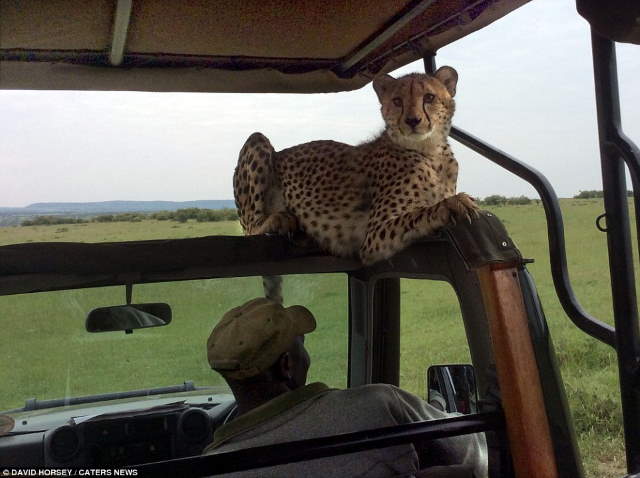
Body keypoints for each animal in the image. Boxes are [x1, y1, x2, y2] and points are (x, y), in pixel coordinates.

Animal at [232, 66, 478, 300]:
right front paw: (453, 203)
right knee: (251, 229)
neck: (431, 152)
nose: (413, 120)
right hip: (257, 142)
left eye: (429, 97)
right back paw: (278, 219)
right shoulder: (374, 236)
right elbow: (421, 212)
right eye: (397, 101)